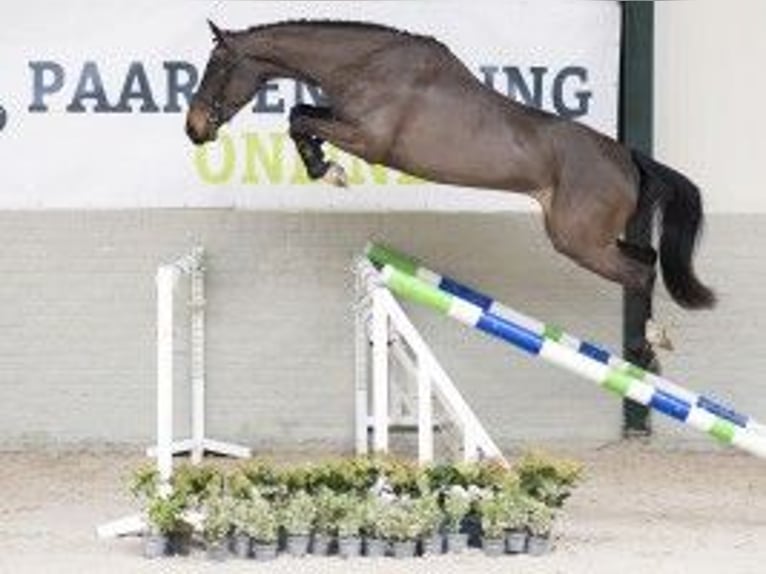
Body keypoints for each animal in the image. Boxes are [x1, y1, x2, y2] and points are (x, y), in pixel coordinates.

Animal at [188, 20, 720, 310]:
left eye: (218, 68)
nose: (193, 128)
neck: (367, 65)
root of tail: (628, 158)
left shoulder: (369, 141)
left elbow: (300, 119)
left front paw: (328, 171)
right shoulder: (344, 122)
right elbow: (301, 116)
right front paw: (325, 167)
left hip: (578, 241)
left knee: (641, 275)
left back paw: (644, 358)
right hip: (583, 237)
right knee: (648, 260)